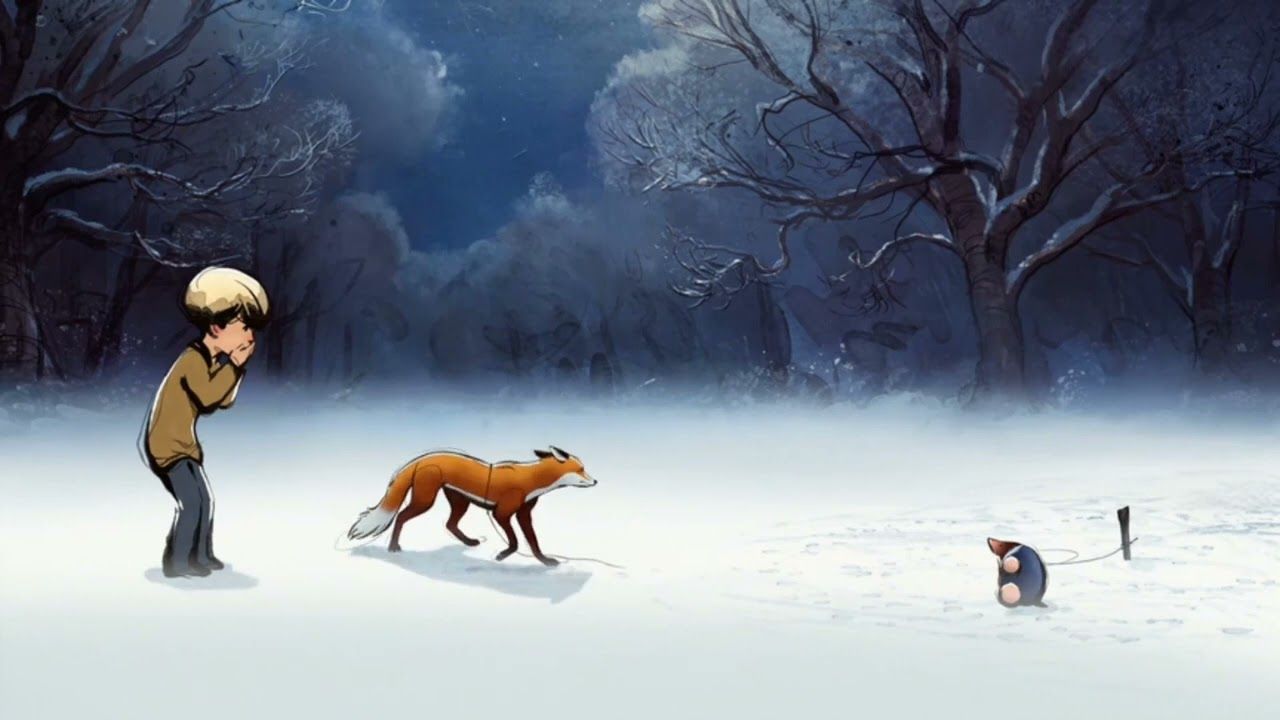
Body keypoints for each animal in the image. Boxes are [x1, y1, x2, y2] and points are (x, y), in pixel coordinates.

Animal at [345, 445, 597, 566]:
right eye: (581, 469)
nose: (595, 481)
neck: (532, 479)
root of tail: (421, 459)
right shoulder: (502, 513)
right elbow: (515, 542)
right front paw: (504, 554)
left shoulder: (524, 514)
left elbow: (533, 543)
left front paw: (546, 561)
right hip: (425, 501)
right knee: (401, 517)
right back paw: (393, 547)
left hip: (459, 502)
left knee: (450, 524)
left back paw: (468, 542)